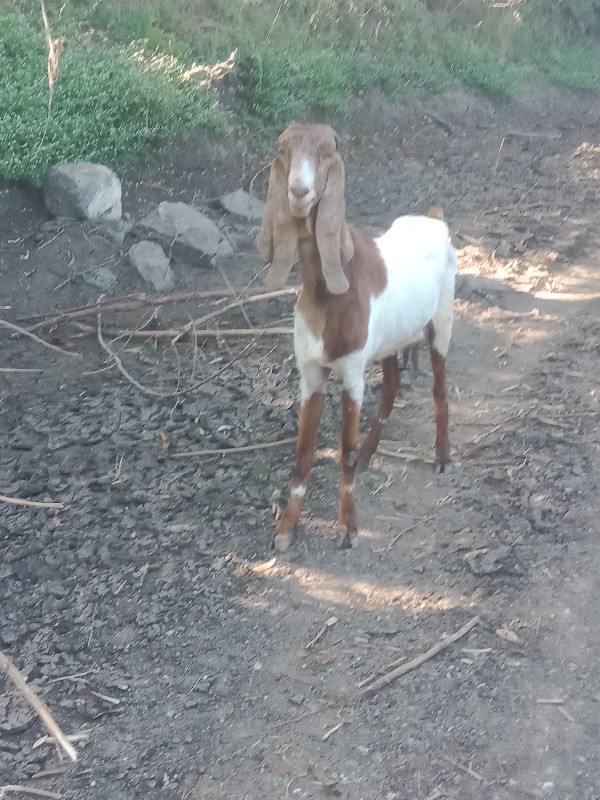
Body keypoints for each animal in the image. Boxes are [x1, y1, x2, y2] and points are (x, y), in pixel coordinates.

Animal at [256, 123, 454, 552]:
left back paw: (443, 457)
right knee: (392, 385)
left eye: (326, 153)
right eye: (283, 150)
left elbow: (342, 450)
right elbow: (303, 452)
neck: (329, 292)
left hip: (442, 319)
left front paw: (347, 527)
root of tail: (434, 220)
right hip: (389, 341)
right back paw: (369, 453)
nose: (299, 191)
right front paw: (287, 528)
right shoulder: (311, 373)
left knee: (439, 387)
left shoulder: (350, 374)